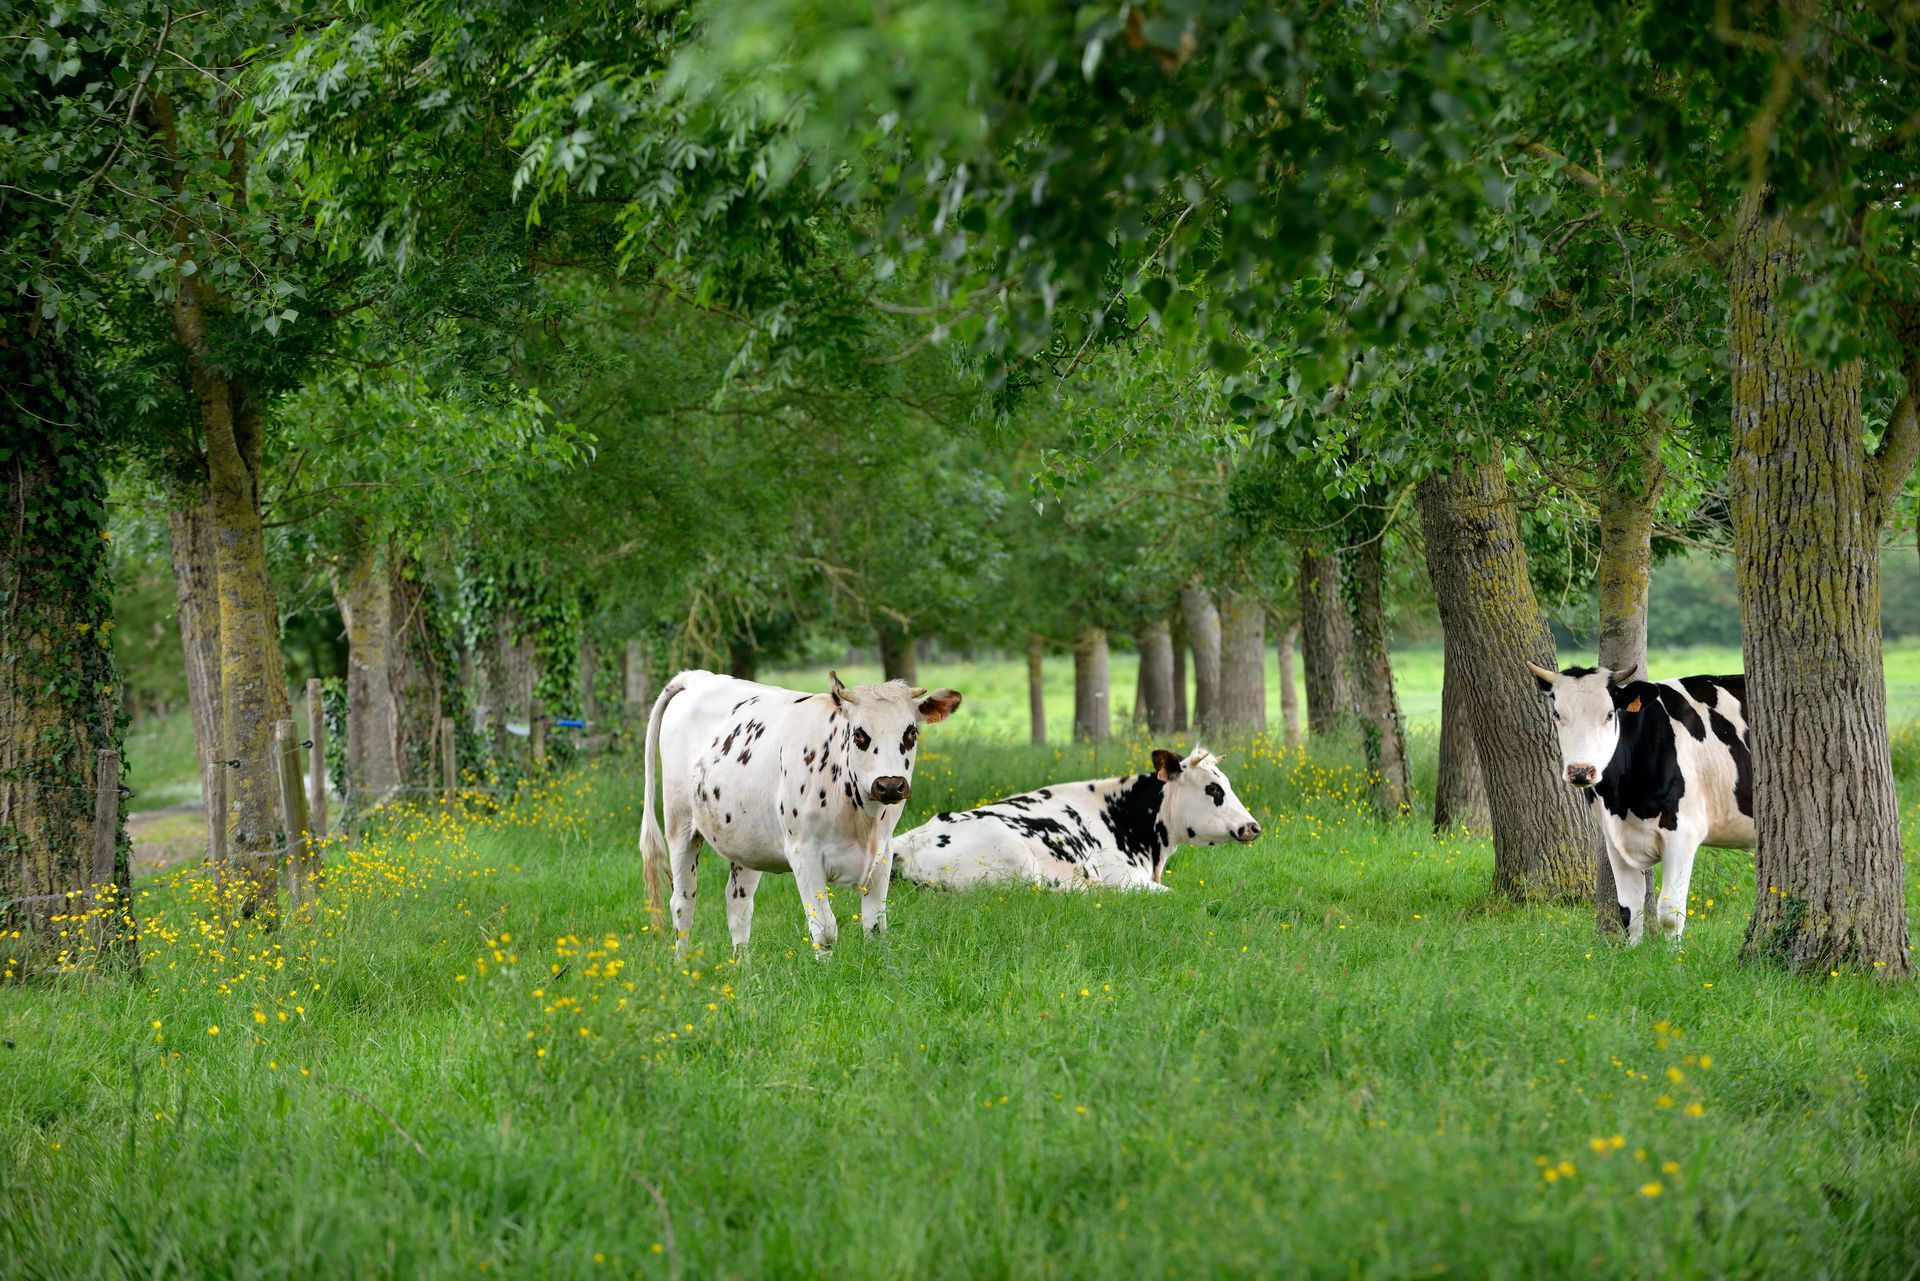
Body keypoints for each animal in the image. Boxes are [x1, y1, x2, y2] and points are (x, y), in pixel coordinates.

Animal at [639, 670, 962, 958]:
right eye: (859, 734)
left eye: (911, 732)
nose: (890, 785)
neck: (862, 819)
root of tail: (697, 676)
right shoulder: (804, 854)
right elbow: (825, 929)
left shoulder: (882, 853)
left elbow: (875, 926)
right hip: (680, 826)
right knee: (683, 902)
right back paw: (683, 967)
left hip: (745, 841)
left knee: (737, 904)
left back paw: (744, 968)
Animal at [1527, 662, 1754, 943]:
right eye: (1557, 714)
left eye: (1609, 714)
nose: (1581, 771)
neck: (1622, 801)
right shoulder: (1615, 840)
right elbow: (1630, 913)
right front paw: (1632, 951)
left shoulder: (1683, 834)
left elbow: (1670, 913)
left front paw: (1674, 955)